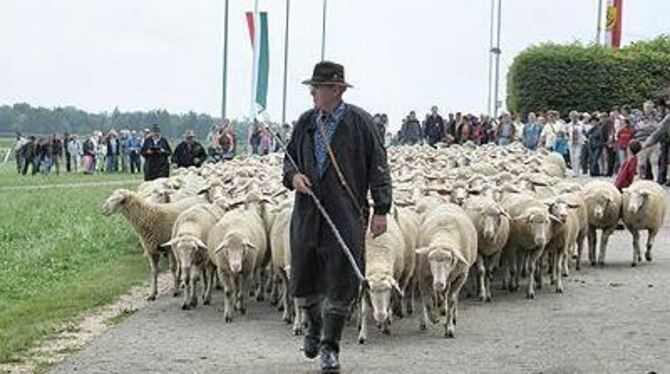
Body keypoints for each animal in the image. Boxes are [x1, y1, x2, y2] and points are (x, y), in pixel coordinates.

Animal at [360, 215, 406, 344]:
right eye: (371, 291)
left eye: (388, 290)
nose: (380, 316)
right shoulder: (364, 282)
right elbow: (364, 311)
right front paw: (362, 335)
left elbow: (390, 303)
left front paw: (385, 326)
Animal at [414, 203, 478, 338]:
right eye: (430, 259)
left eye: (449, 259)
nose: (438, 283)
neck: (443, 236)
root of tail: (447, 203)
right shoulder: (423, 276)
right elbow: (426, 300)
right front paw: (433, 318)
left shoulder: (461, 276)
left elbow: (452, 299)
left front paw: (449, 327)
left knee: (449, 297)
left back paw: (451, 315)